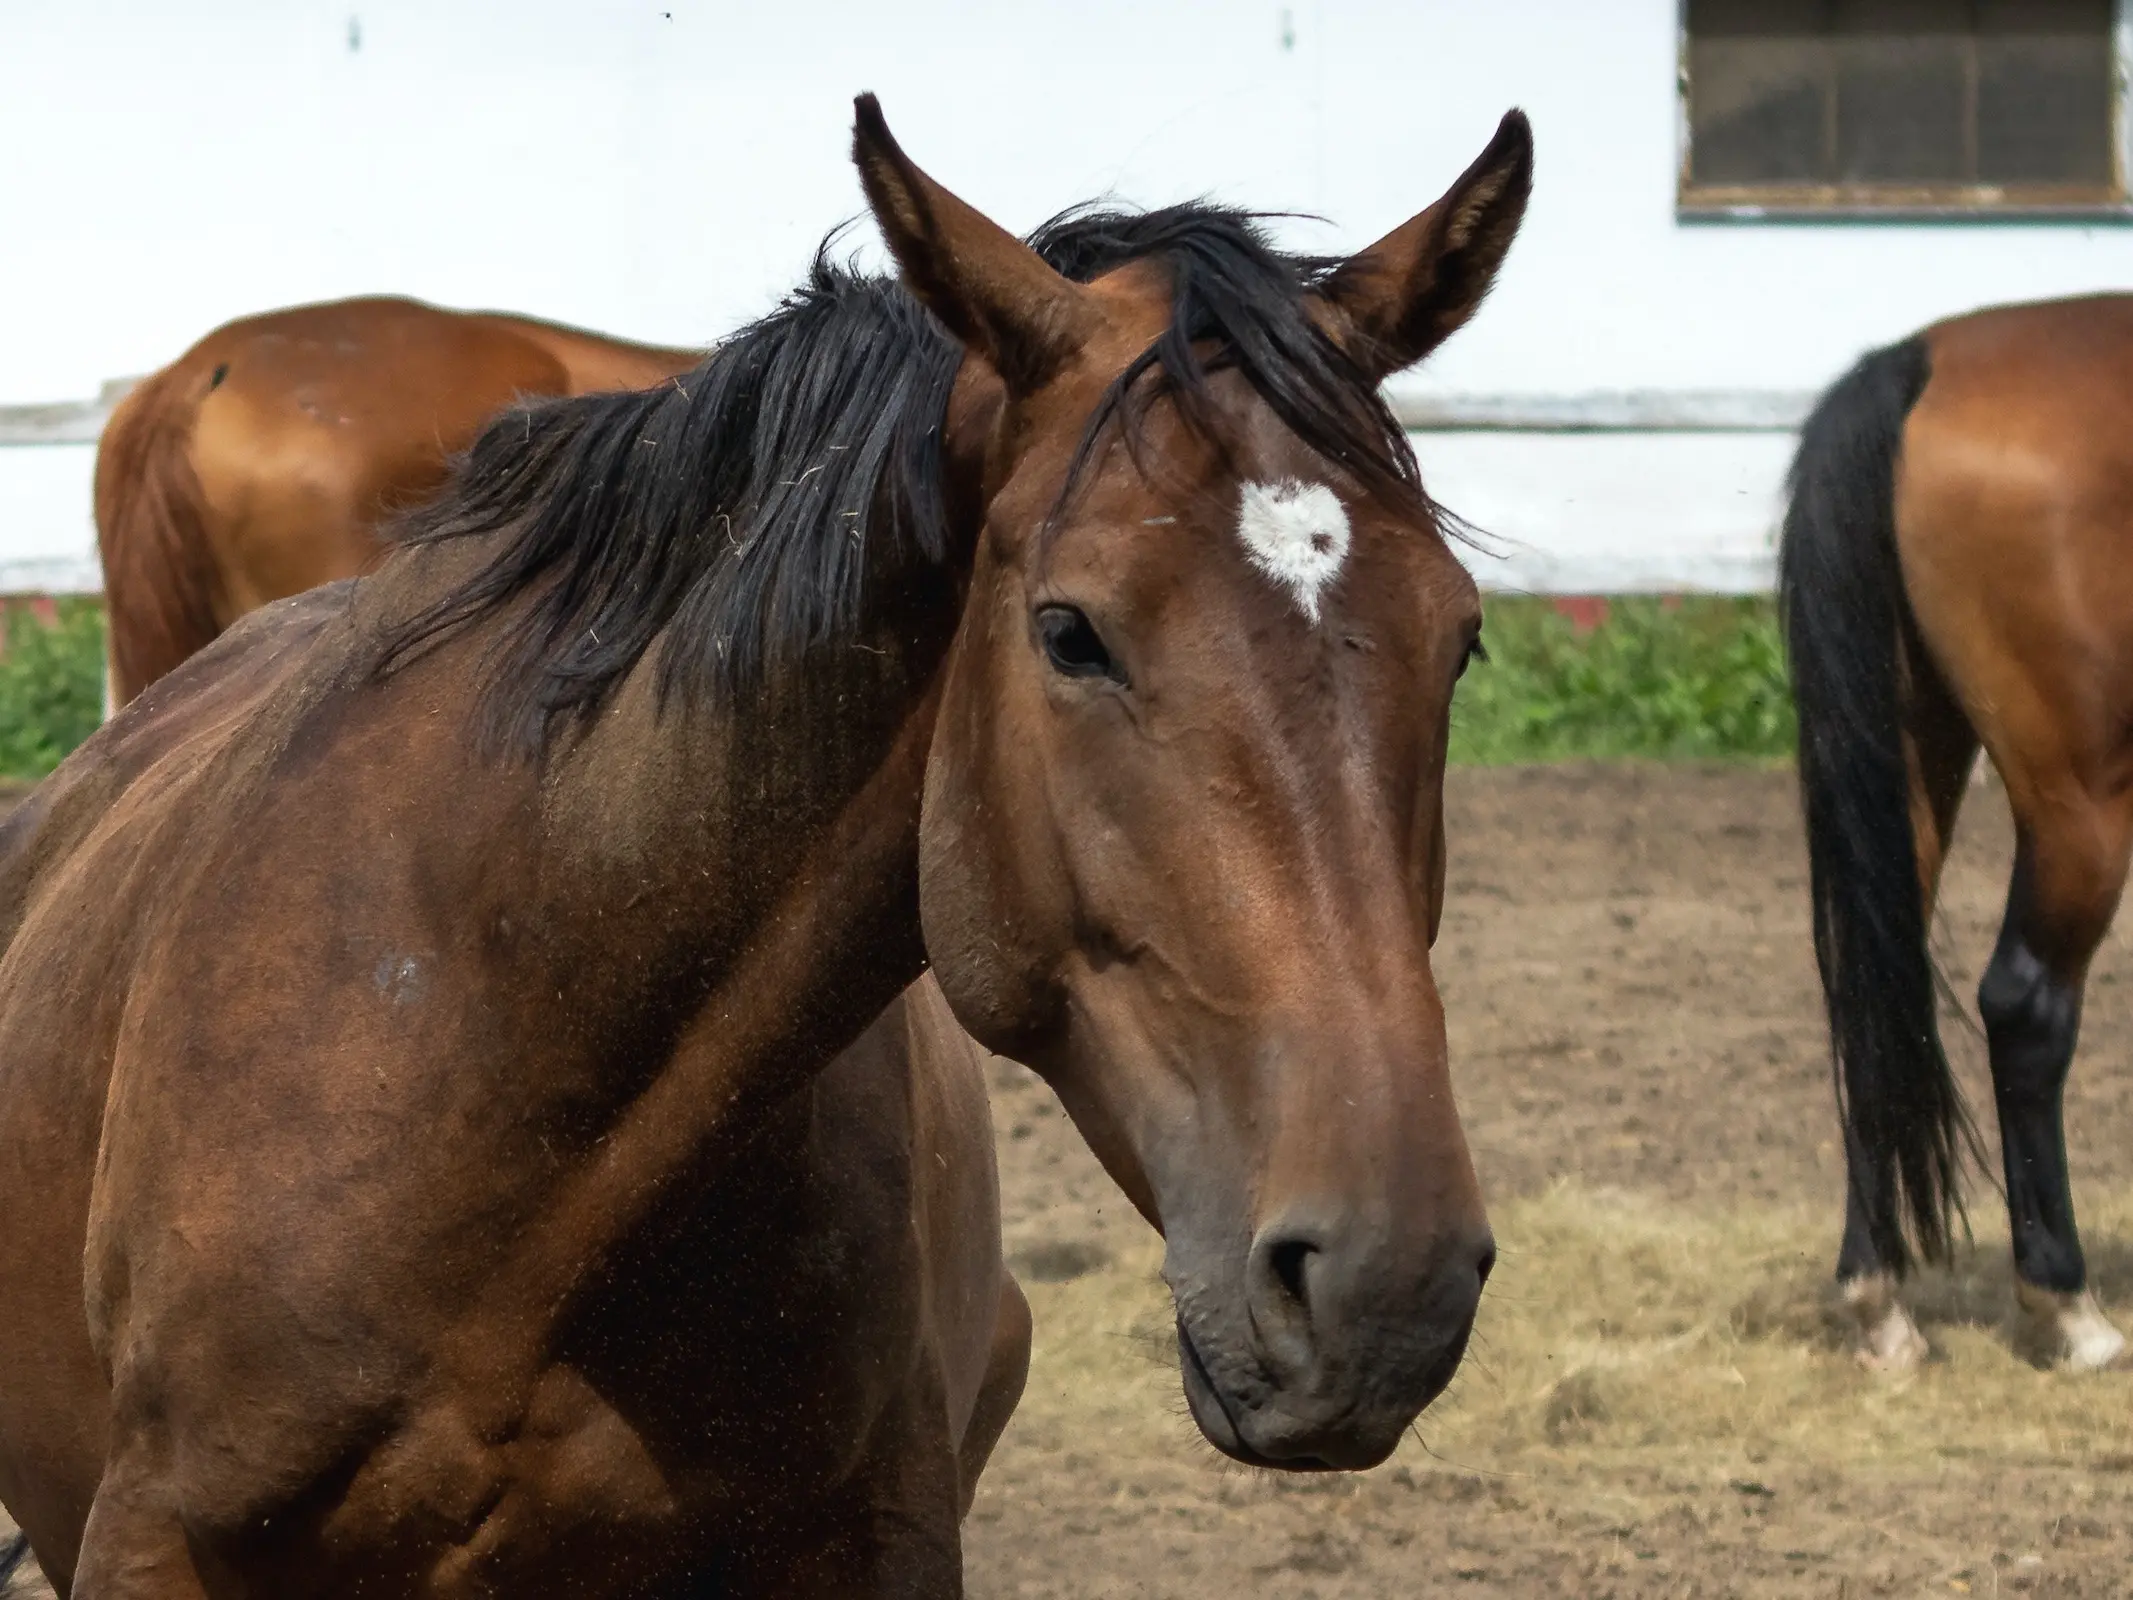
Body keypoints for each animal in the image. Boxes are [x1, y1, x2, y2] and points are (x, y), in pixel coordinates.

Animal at [1774, 294, 2133, 1373]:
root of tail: (1918, 362)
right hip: (2079, 803)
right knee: (2026, 1005)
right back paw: (2068, 1309)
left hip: (1908, 755)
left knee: (1874, 994)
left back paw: (1878, 1301)